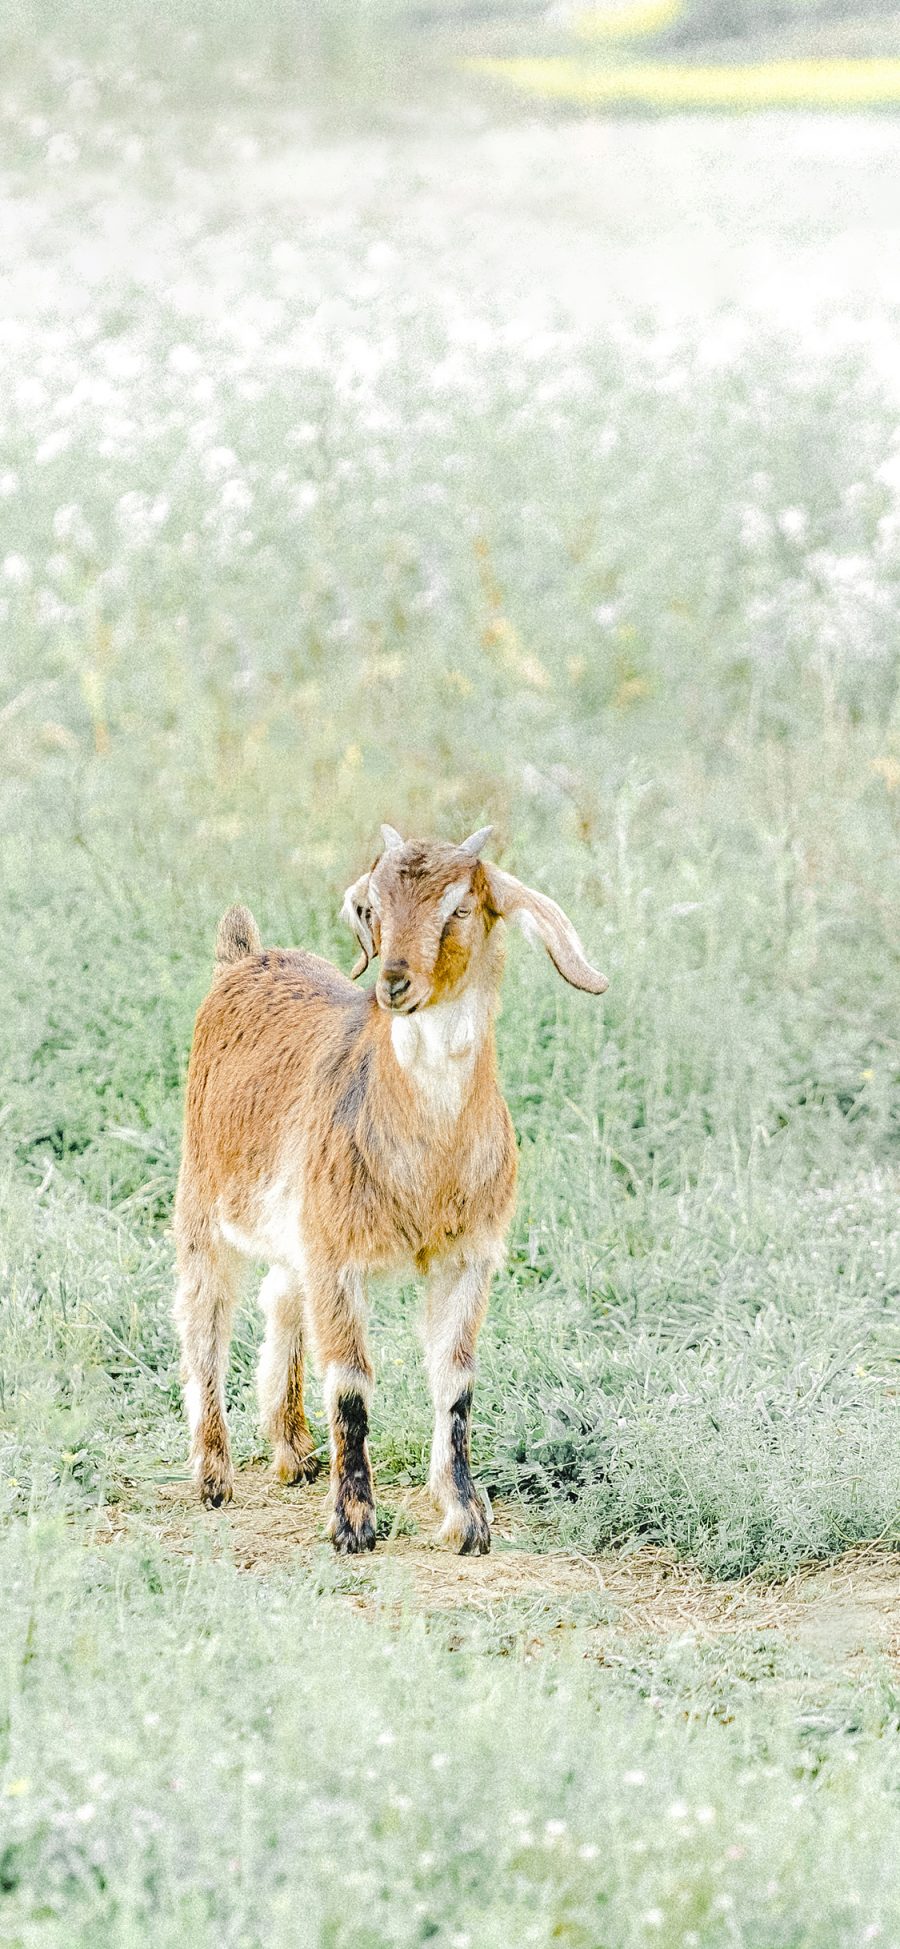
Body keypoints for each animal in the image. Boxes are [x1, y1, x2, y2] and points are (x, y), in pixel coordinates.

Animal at [172, 822, 607, 1551]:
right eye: (372, 908)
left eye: (461, 907)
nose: (395, 983)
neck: (427, 1160)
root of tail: (245, 957)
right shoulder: (338, 1255)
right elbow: (350, 1386)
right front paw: (354, 1522)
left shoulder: (466, 1256)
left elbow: (455, 1382)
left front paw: (466, 1518)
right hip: (202, 1195)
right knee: (205, 1317)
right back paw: (213, 1475)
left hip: (293, 1222)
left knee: (279, 1296)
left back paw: (293, 1449)